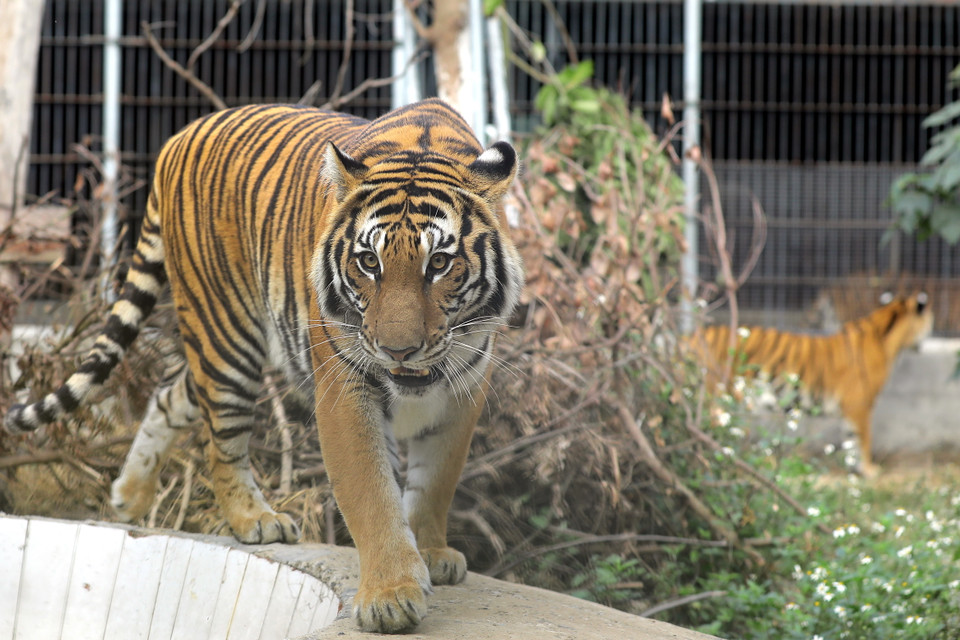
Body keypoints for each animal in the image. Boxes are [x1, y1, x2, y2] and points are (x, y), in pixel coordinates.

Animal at [4, 98, 523, 633]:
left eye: (439, 263)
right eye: (369, 262)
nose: (397, 351)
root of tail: (178, 137)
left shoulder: (464, 390)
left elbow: (436, 481)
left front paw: (432, 551)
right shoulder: (344, 389)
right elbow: (371, 493)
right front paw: (390, 597)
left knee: (171, 395)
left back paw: (129, 495)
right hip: (226, 337)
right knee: (221, 442)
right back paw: (255, 519)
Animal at [693, 291, 933, 476]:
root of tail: (691, 336)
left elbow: (850, 439)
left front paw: (854, 469)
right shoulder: (859, 404)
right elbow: (863, 439)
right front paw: (868, 470)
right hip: (717, 396)